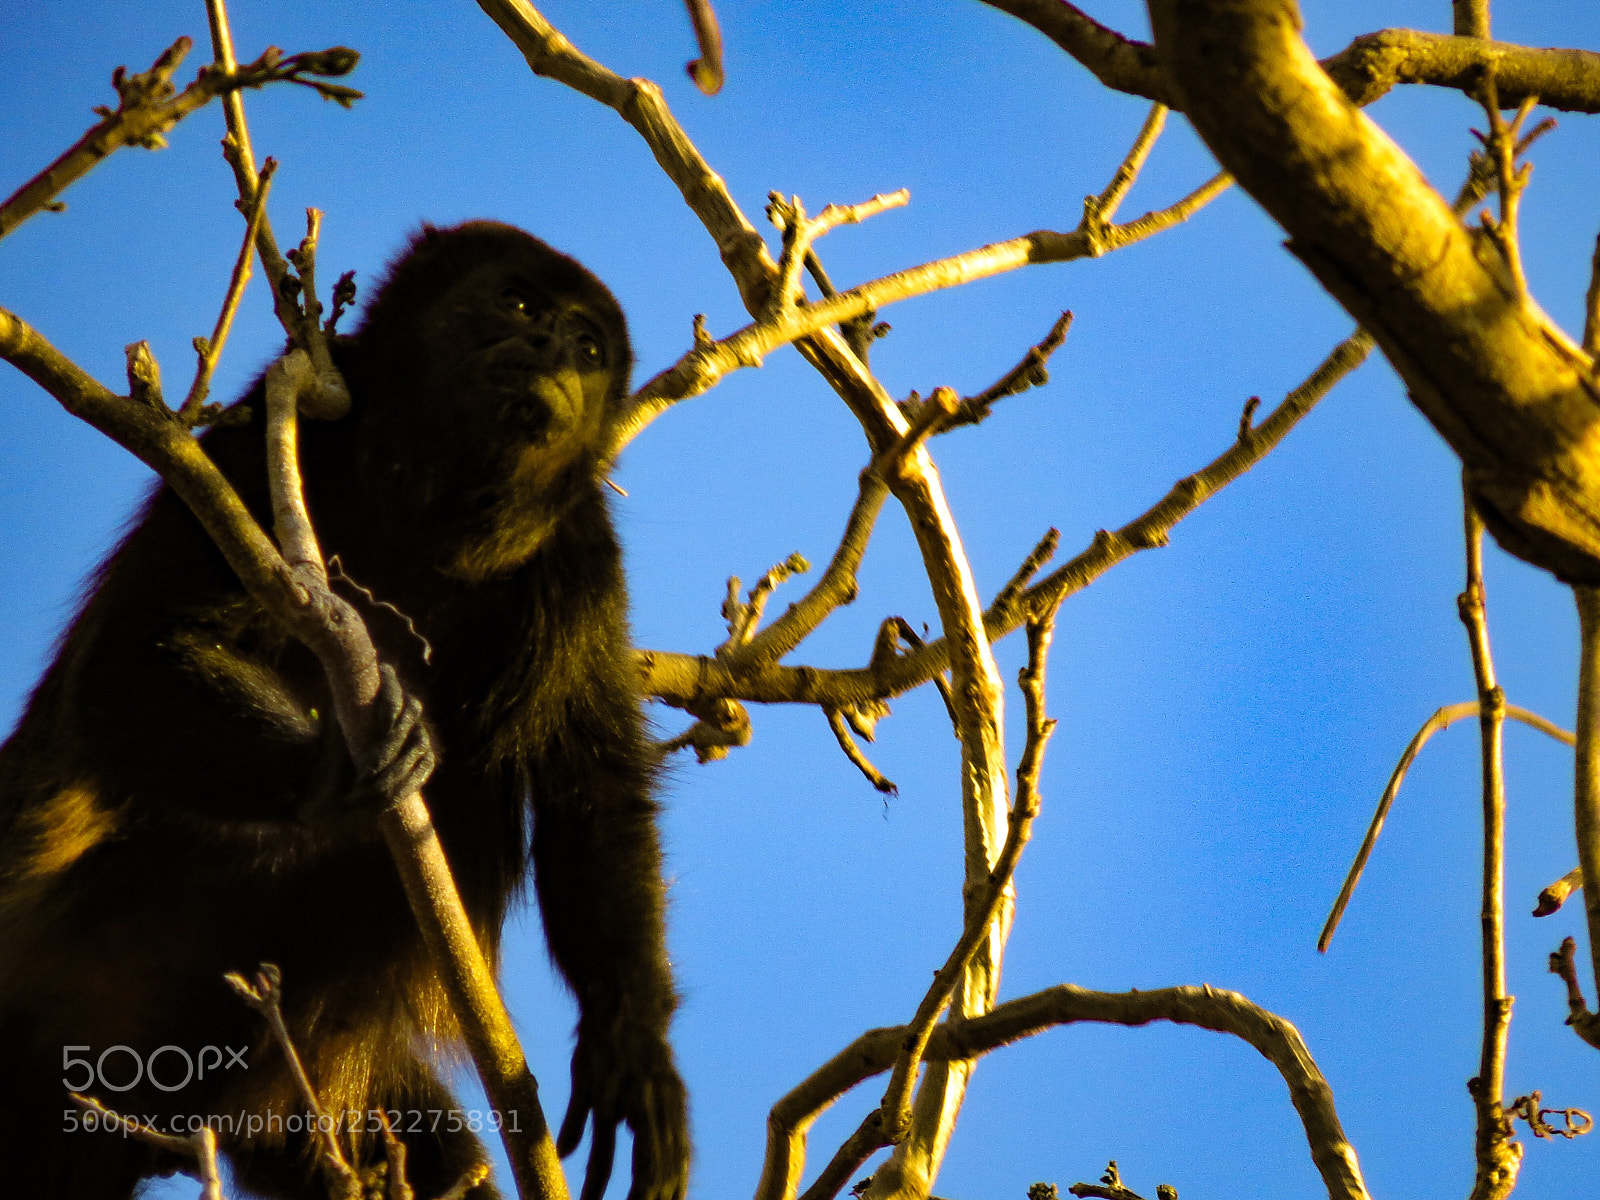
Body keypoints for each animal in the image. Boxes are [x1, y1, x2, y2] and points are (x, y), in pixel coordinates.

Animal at [0, 221, 688, 1200]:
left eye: (589, 349)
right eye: (518, 301)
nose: (552, 349)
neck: (429, 510)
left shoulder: (581, 559)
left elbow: (588, 793)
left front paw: (630, 1045)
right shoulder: (257, 435)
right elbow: (132, 655)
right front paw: (335, 768)